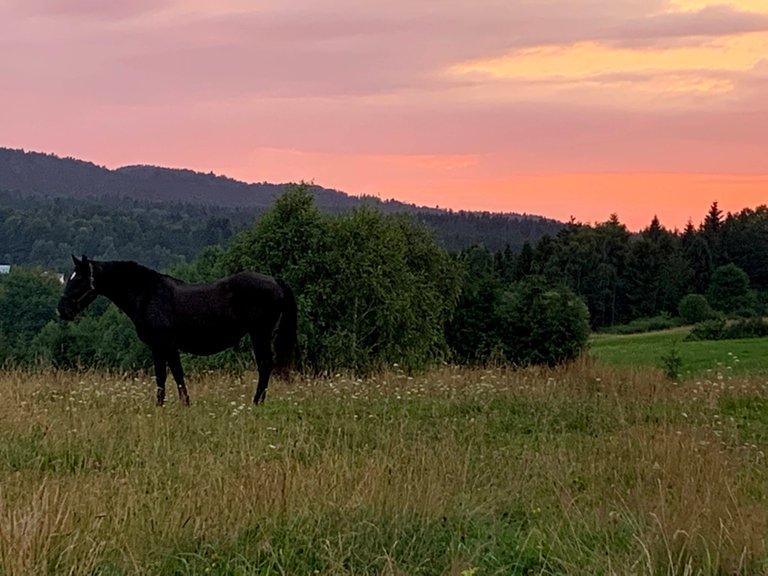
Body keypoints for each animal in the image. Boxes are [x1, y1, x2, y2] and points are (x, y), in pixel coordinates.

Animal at [57, 254, 296, 408]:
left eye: (79, 278)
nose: (62, 309)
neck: (147, 294)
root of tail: (276, 281)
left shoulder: (165, 345)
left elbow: (171, 375)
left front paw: (173, 405)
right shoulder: (162, 347)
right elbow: (168, 375)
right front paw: (171, 405)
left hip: (260, 333)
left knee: (265, 365)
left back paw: (256, 403)